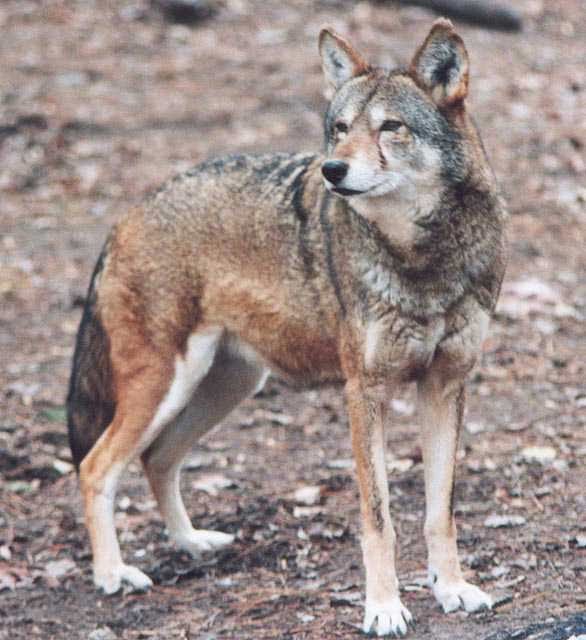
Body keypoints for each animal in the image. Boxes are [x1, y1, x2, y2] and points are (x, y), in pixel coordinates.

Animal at [67, 19, 507, 636]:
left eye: (390, 127)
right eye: (340, 129)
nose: (333, 170)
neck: (422, 259)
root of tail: (126, 216)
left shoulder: (445, 386)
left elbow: (439, 513)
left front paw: (453, 589)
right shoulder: (364, 392)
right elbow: (378, 518)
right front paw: (383, 607)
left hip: (224, 389)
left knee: (158, 460)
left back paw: (192, 543)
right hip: (163, 387)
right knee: (95, 468)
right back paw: (112, 574)